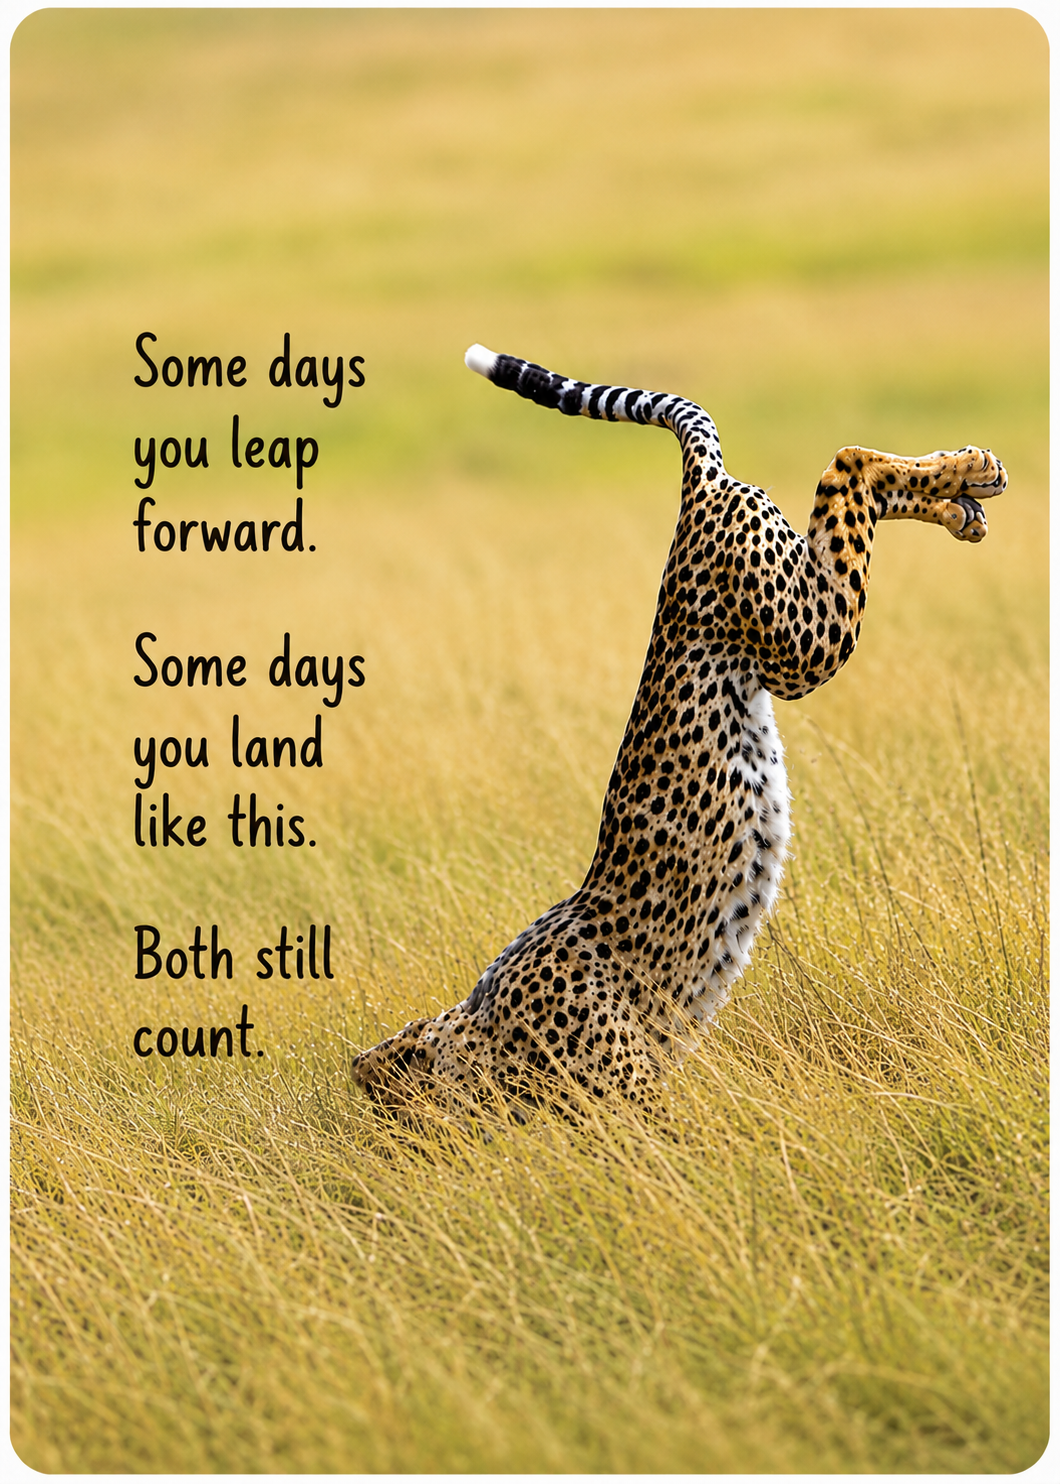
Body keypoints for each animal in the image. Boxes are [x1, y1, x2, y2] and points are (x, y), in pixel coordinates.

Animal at [351, 345, 1005, 1114]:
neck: (473, 1027)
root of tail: (699, 488)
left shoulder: (642, 1100)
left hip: (804, 639)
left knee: (846, 466)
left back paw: (966, 469)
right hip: (797, 619)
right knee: (855, 490)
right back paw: (962, 497)